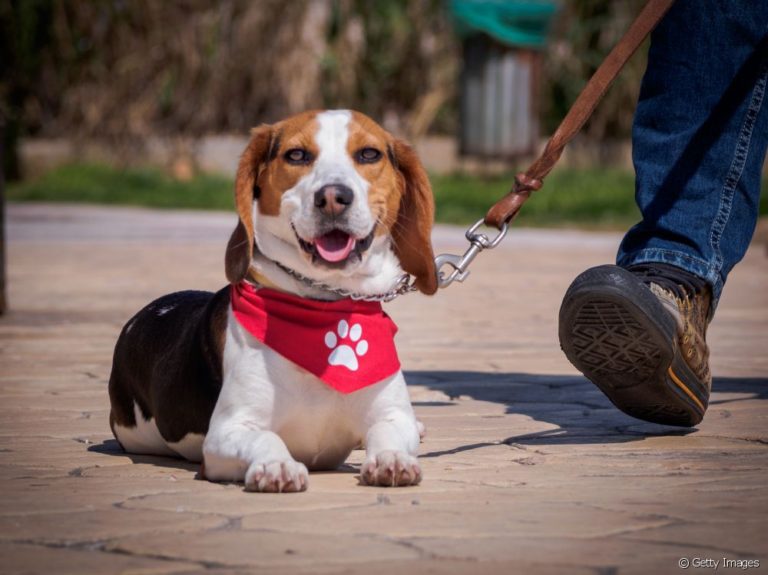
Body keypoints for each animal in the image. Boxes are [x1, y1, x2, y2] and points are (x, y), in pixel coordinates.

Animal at [106, 110, 438, 492]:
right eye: (296, 155)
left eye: (369, 154)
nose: (333, 197)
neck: (327, 305)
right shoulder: (224, 435)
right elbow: (266, 437)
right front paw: (276, 465)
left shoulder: (392, 415)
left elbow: (388, 432)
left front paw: (392, 459)